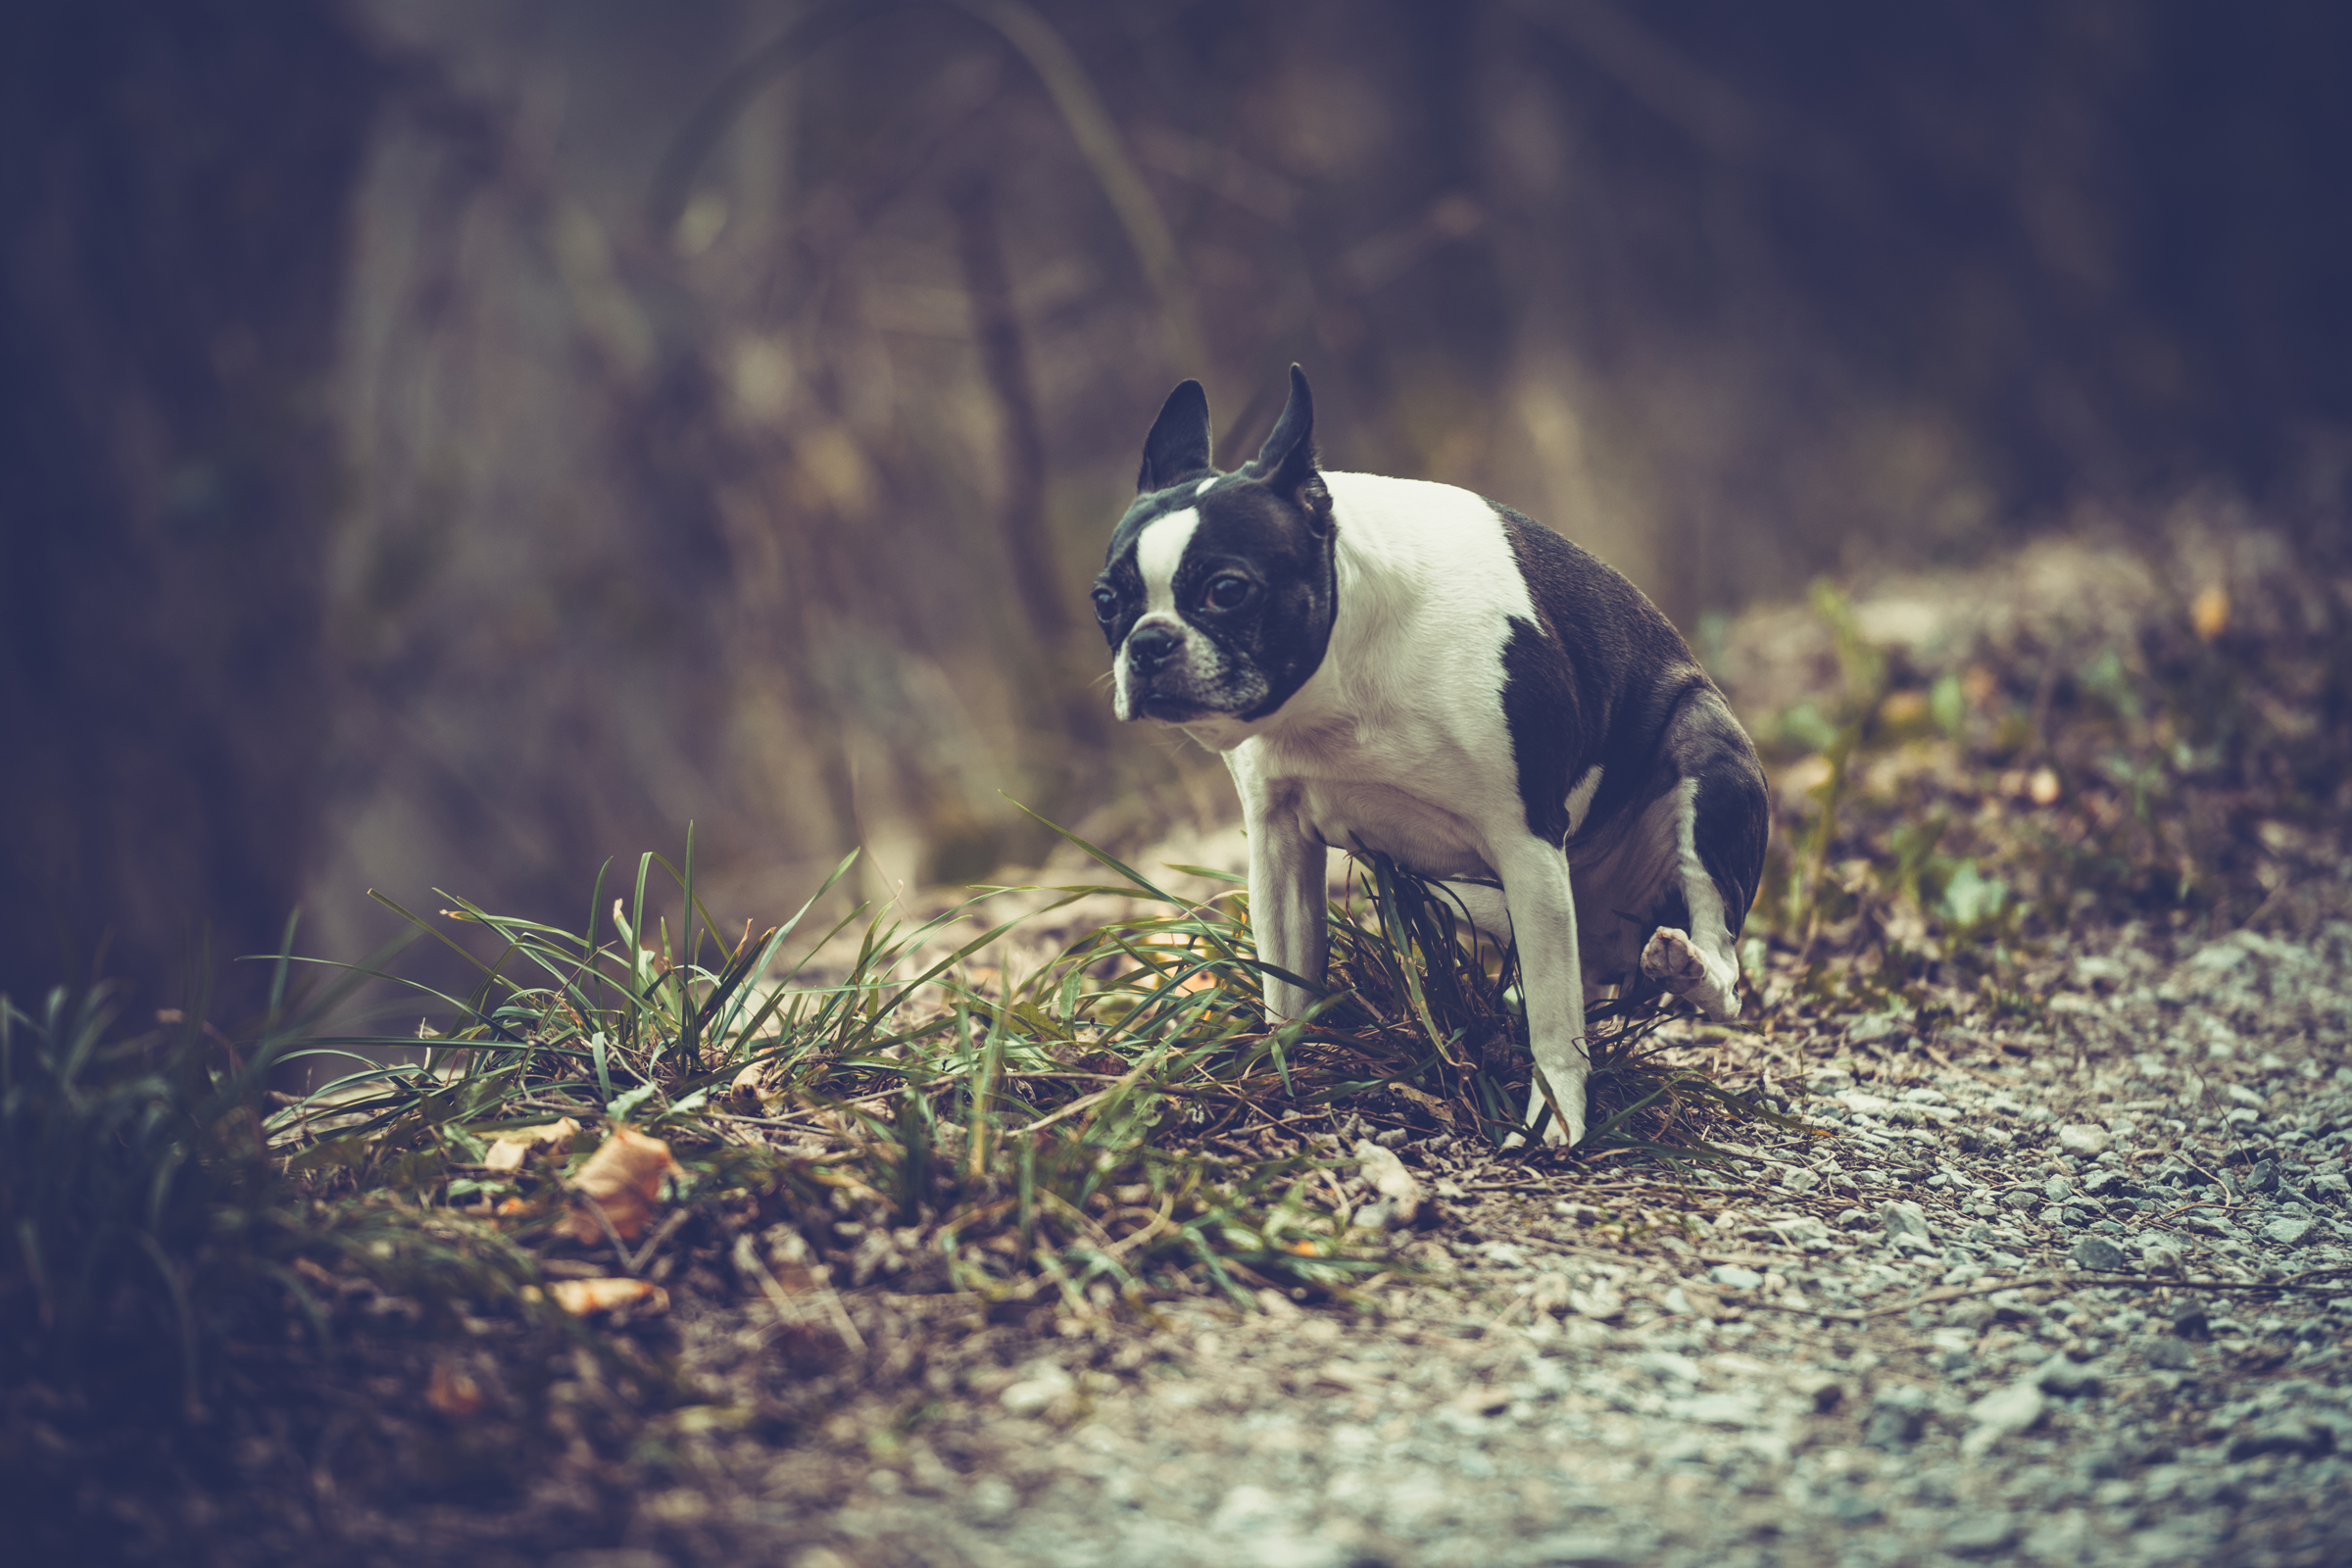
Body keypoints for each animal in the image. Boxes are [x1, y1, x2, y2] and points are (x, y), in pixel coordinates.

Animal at [1082, 368, 1768, 1152]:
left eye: (1227, 590)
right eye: (1105, 601)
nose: (1148, 641)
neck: (1337, 679)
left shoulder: (1528, 843)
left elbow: (1555, 1025)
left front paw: (1554, 1117)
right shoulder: (1279, 841)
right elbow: (1285, 980)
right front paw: (1279, 1068)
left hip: (1704, 752)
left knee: (1719, 969)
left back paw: (1686, 965)